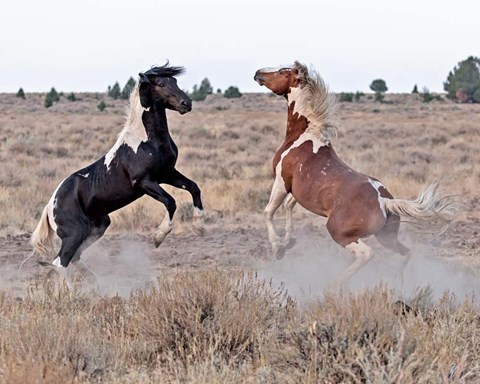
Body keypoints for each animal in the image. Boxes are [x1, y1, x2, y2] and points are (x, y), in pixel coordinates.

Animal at [30, 62, 202, 280]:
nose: (186, 103)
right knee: (60, 262)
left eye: (175, 81)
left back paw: (97, 284)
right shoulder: (144, 182)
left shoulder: (167, 174)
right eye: (161, 84)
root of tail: (50, 207)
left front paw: (199, 227)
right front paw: (158, 237)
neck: (146, 141)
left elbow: (194, 188)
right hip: (75, 232)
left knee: (73, 258)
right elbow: (171, 202)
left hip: (98, 226)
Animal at [253, 61, 456, 284]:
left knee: (367, 254)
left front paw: (278, 249)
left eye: (282, 72)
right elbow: (288, 206)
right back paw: (397, 280)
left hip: (340, 232)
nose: (258, 73)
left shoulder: (281, 181)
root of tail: (385, 202)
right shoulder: (297, 189)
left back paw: (337, 283)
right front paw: (290, 241)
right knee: (405, 253)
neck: (304, 136)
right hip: (386, 237)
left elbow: (269, 212)